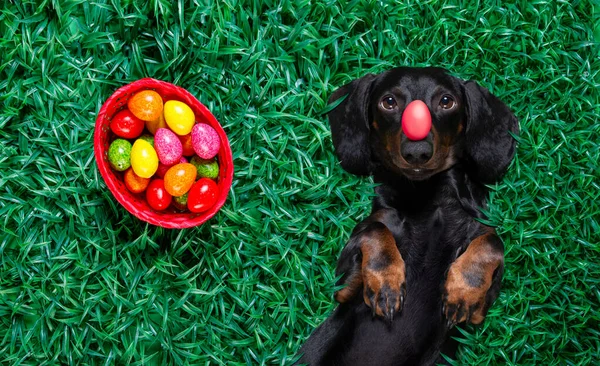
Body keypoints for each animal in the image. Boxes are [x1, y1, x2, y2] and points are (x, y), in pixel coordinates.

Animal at [298, 67, 516, 364]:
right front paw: (386, 285)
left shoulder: (480, 309)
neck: (427, 200)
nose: (417, 152)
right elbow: (375, 230)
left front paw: (462, 292)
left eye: (446, 101)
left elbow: (493, 242)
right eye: (389, 102)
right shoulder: (344, 288)